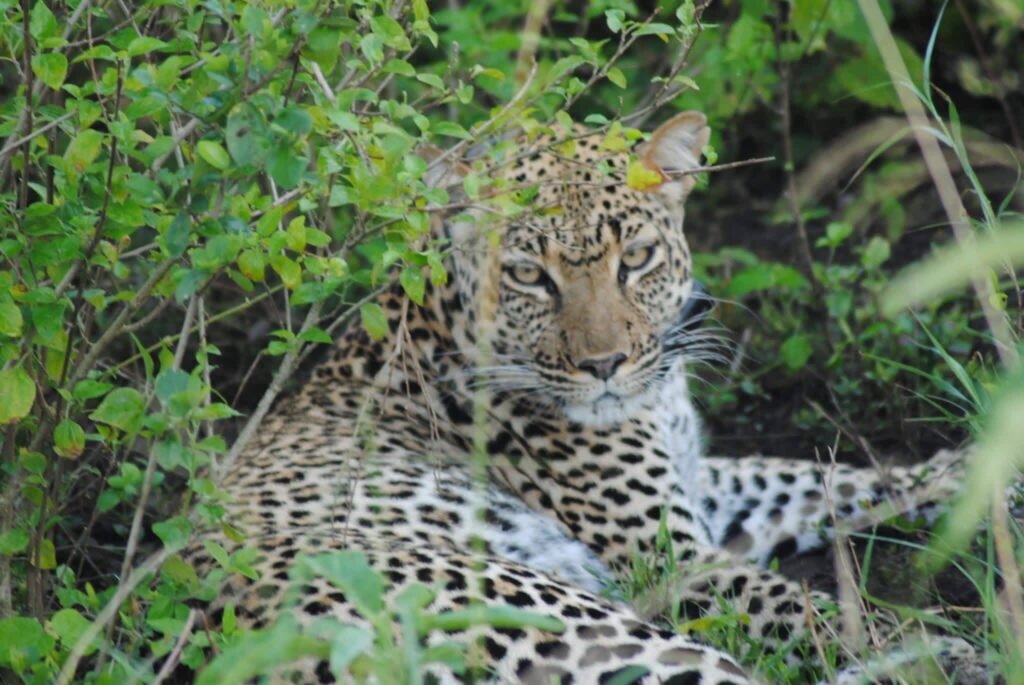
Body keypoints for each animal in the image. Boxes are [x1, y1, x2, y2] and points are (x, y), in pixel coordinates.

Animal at [187, 111, 967, 684]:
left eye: (638, 259)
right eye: (529, 275)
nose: (604, 365)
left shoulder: (702, 492)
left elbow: (817, 477)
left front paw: (965, 471)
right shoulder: (672, 555)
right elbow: (804, 604)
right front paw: (939, 646)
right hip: (568, 619)